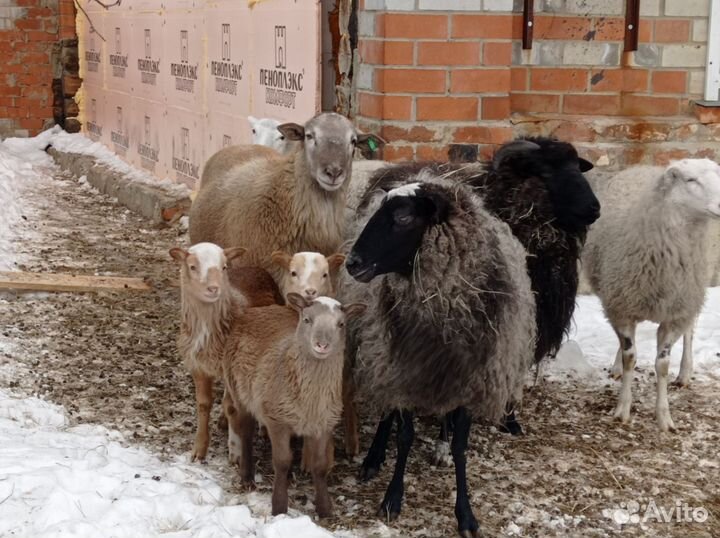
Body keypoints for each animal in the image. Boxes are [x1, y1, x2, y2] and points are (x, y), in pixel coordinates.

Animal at [222, 293, 366, 518]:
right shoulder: (276, 420)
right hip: (239, 391)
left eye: (341, 324)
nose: (321, 345)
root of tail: (261, 309)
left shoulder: (323, 423)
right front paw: (279, 507)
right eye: (307, 319)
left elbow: (320, 466)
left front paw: (325, 509)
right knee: (245, 432)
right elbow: (281, 462)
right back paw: (247, 477)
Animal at [342, 173, 536, 537]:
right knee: (387, 413)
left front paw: (465, 514)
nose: (352, 263)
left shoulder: (470, 380)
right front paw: (392, 499)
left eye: (403, 217)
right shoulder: (402, 372)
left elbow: (461, 448)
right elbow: (404, 436)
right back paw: (374, 457)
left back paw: (440, 446)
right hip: (381, 358)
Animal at [356, 137, 600, 474]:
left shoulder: (512, 330)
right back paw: (376, 453)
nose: (594, 208)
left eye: (578, 166)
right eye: (545, 172)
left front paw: (507, 420)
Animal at [582, 158, 720, 432]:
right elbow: (630, 357)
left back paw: (685, 372)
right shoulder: (621, 308)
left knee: (690, 330)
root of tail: (644, 166)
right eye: (690, 180)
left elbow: (662, 365)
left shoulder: (675, 314)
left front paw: (664, 417)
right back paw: (616, 366)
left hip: (690, 297)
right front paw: (622, 409)